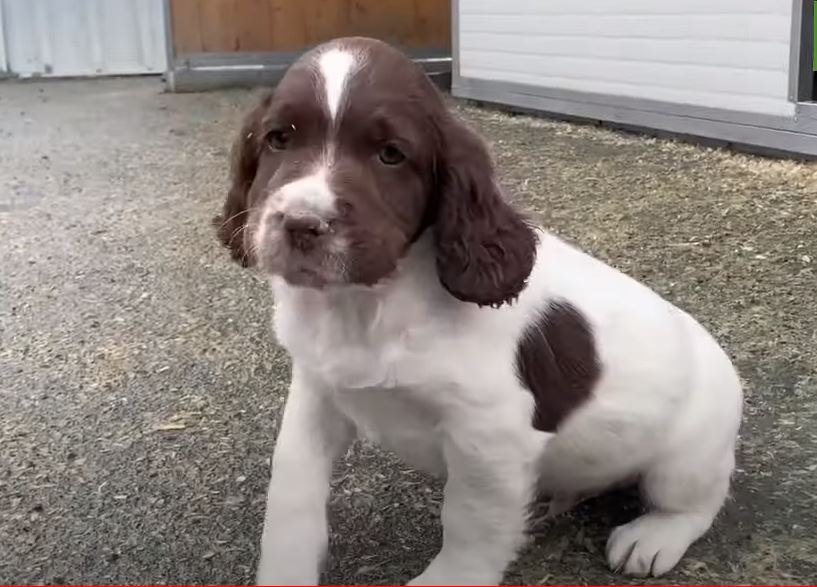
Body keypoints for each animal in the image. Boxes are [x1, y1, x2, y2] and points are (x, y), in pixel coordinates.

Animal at [214, 38, 744, 587]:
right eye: (279, 138)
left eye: (391, 154)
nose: (302, 224)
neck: (367, 302)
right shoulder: (317, 393)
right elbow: (292, 488)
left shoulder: (488, 435)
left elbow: (469, 521)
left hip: (687, 457)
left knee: (695, 504)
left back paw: (654, 536)